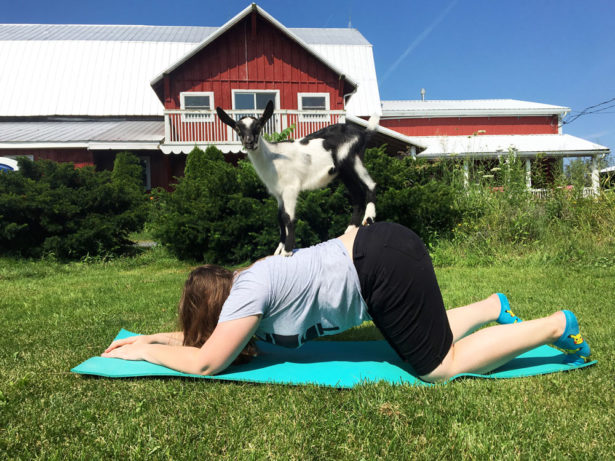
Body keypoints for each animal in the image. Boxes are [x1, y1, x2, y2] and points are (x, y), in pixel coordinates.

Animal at [217, 99, 380, 255]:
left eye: (258, 126)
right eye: (237, 128)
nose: (249, 142)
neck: (272, 156)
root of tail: (363, 134)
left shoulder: (290, 188)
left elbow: (288, 217)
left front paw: (288, 250)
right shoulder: (279, 193)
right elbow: (280, 218)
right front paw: (279, 249)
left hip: (351, 158)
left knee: (370, 184)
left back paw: (369, 218)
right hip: (344, 171)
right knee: (357, 195)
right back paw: (350, 230)